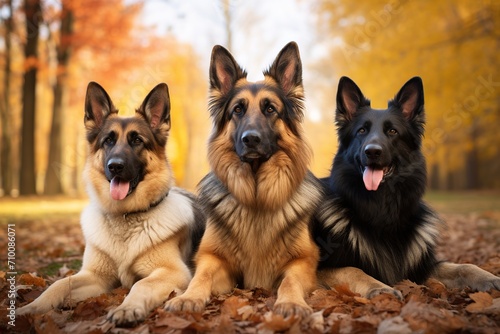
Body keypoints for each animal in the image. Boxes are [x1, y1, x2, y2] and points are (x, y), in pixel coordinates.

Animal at [17, 82, 205, 324]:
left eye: (137, 140)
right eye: (108, 140)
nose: (115, 166)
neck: (124, 215)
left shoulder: (173, 272)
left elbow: (142, 284)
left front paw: (128, 308)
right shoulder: (96, 276)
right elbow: (59, 284)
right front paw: (31, 308)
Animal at [164, 43, 320, 318]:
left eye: (270, 109)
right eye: (238, 109)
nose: (251, 139)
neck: (256, 196)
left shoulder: (304, 261)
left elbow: (290, 280)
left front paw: (291, 302)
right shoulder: (212, 258)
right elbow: (201, 276)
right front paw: (189, 297)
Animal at [314, 77, 498, 296]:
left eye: (392, 131)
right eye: (362, 131)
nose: (372, 151)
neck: (382, 208)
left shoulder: (421, 266)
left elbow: (464, 266)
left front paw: (489, 277)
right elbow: (353, 270)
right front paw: (380, 287)